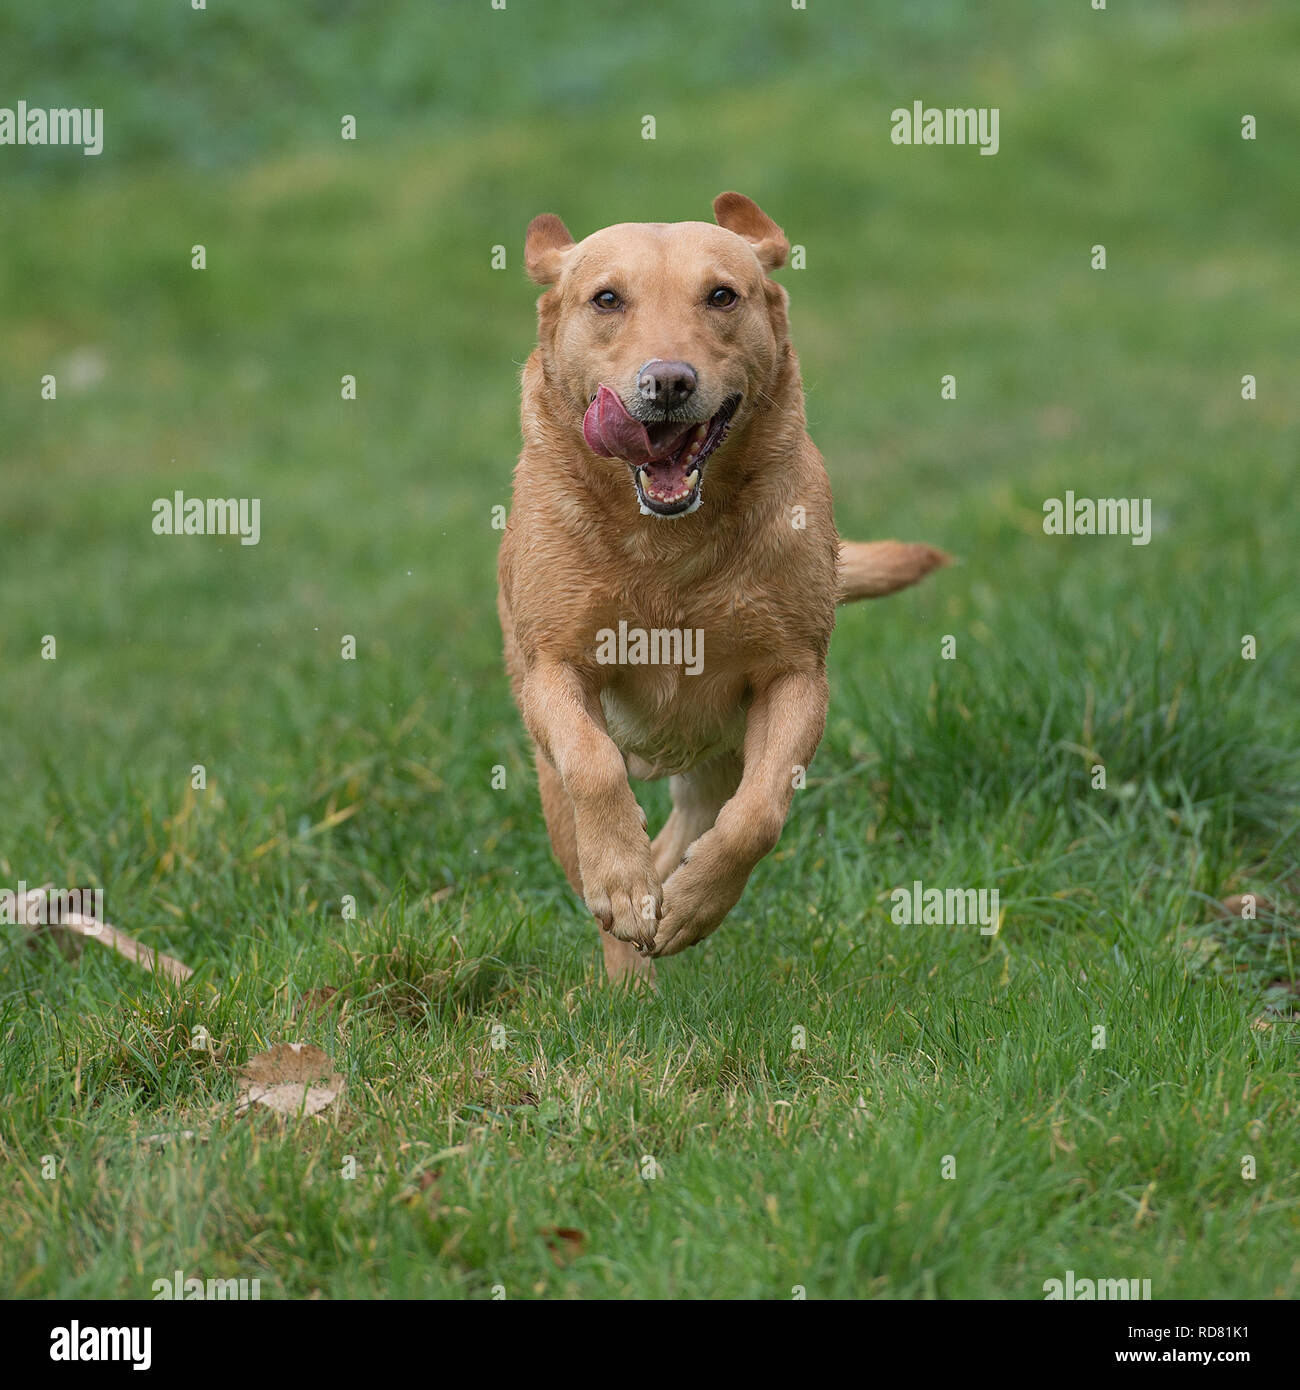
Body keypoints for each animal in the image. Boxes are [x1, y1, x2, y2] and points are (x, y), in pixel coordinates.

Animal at [497, 193, 945, 989]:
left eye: (722, 296)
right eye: (606, 298)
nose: (668, 382)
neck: (668, 544)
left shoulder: (794, 676)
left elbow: (759, 815)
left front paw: (695, 904)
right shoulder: (554, 667)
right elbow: (594, 765)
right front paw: (622, 887)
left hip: (717, 755)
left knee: (692, 828)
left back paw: (671, 902)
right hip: (553, 779)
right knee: (593, 836)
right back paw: (629, 968)